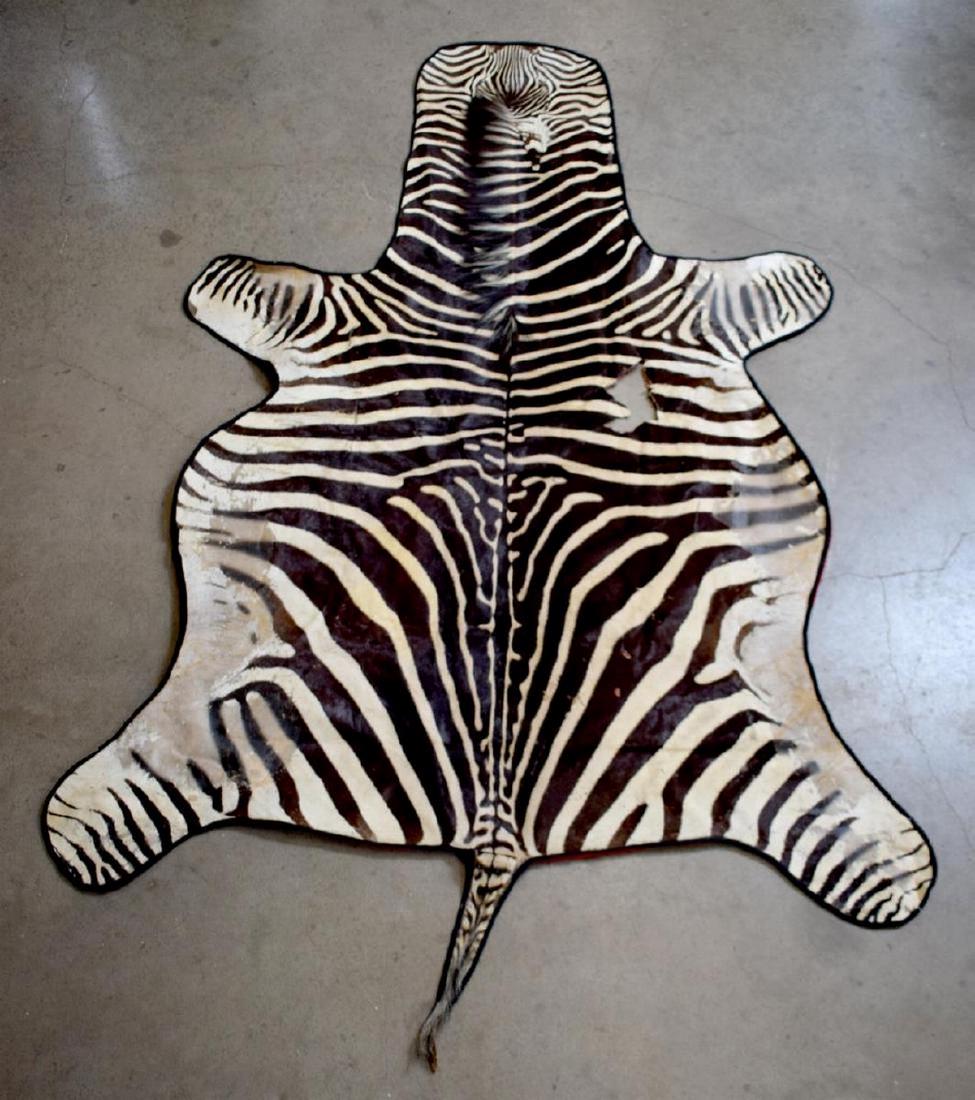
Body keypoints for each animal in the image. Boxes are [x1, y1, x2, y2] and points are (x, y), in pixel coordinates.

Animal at [43, 42, 934, 1068]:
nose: (513, 51)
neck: (509, 258)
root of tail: (501, 829)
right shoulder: (341, 309)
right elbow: (239, 285)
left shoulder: (691, 302)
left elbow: (782, 281)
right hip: (244, 695)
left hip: (747, 705)